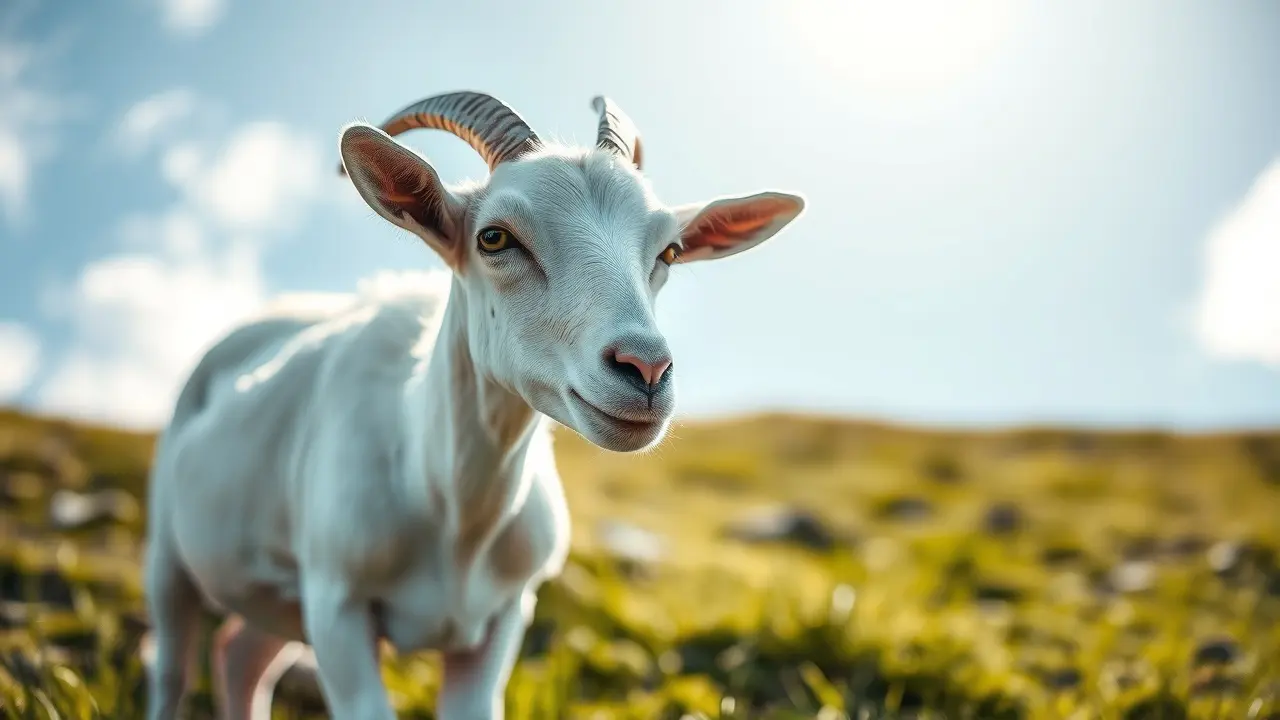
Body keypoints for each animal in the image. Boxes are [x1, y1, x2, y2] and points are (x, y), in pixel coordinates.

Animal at [143, 91, 806, 720]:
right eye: (495, 237)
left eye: (668, 252)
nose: (645, 369)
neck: (452, 511)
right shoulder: (336, 604)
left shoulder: (505, 616)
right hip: (171, 558)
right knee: (173, 669)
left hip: (275, 599)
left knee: (239, 655)